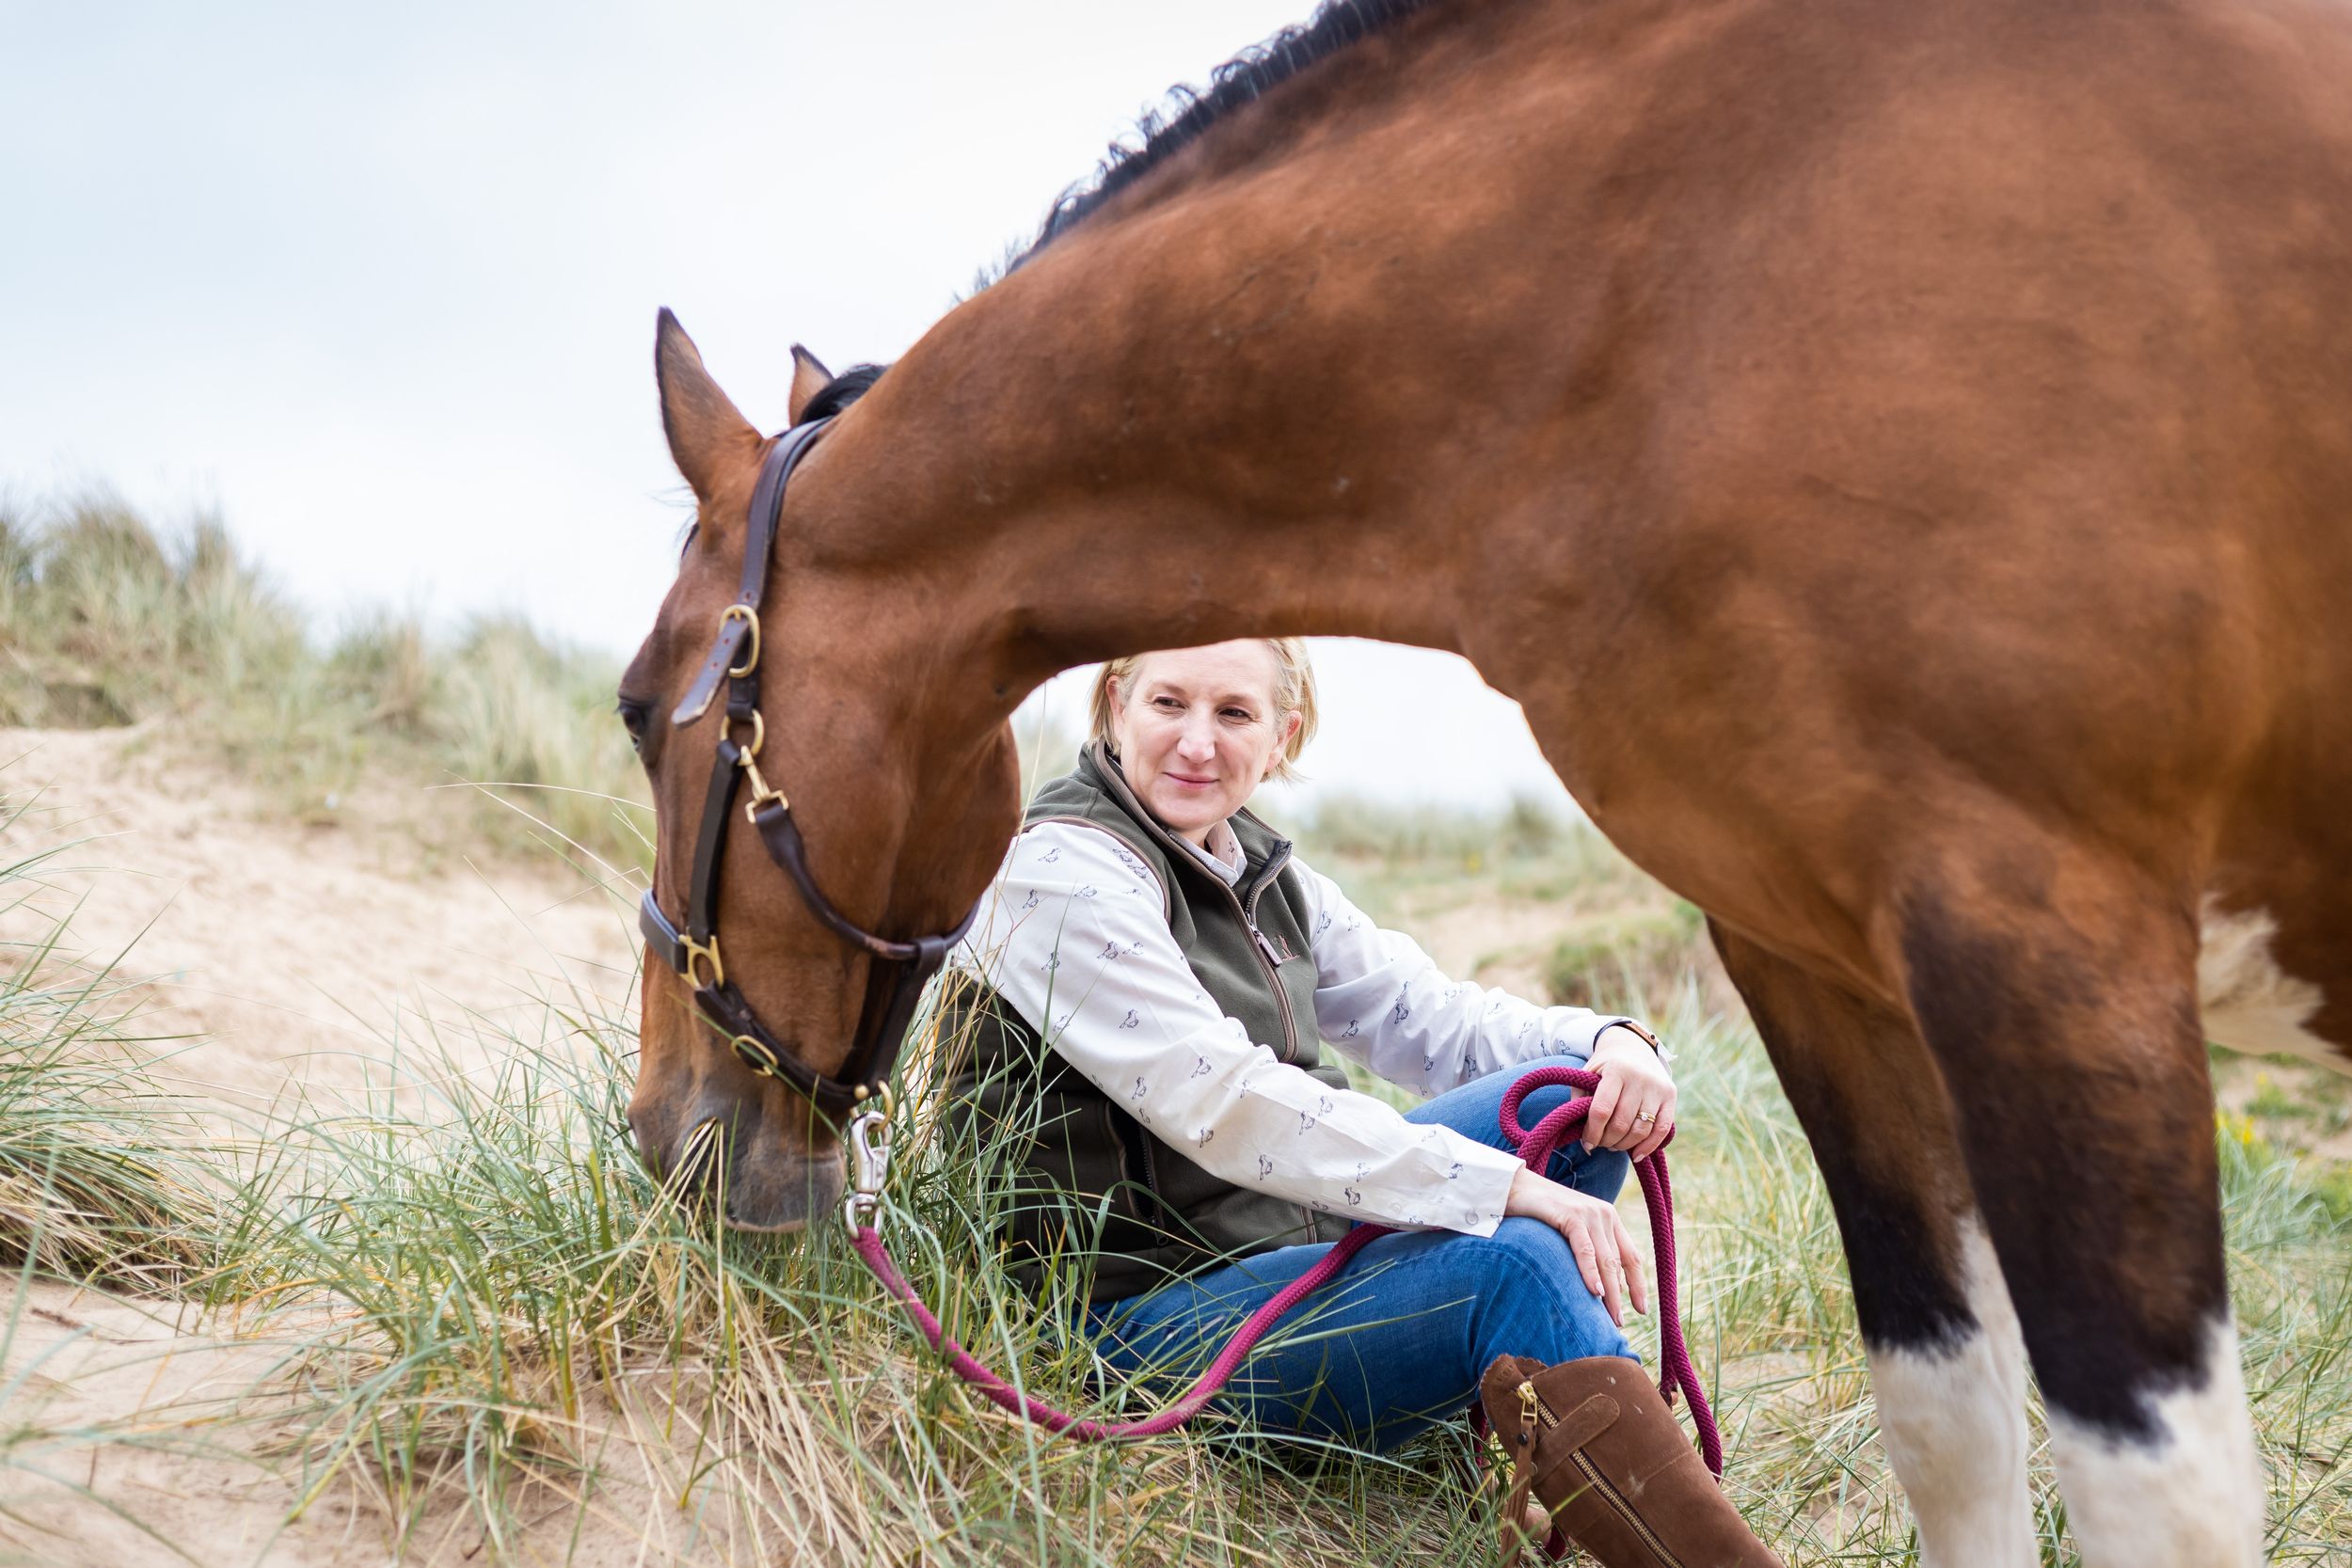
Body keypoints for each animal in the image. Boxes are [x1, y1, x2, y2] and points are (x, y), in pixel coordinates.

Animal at [616, 1, 2352, 1563]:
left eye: (641, 707)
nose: (668, 1139)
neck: (1677, 279)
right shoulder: (1809, 950)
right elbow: (1948, 1422)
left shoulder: (2048, 942)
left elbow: (2157, 1490)